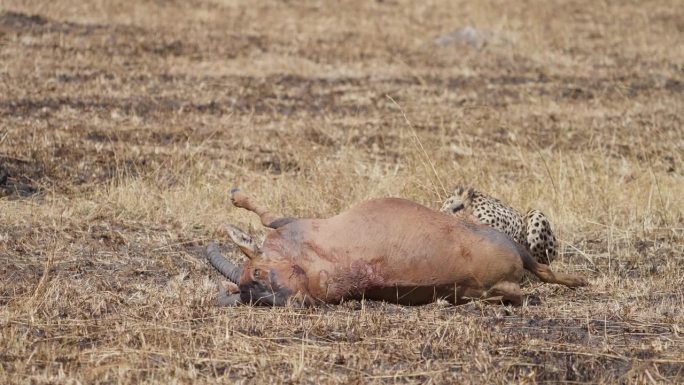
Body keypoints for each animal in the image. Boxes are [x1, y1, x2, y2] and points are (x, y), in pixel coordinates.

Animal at [208, 189, 588, 306]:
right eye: (249, 297)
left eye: (257, 272)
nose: (296, 303)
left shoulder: (292, 224)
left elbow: (267, 215)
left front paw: (236, 196)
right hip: (487, 286)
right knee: (523, 289)